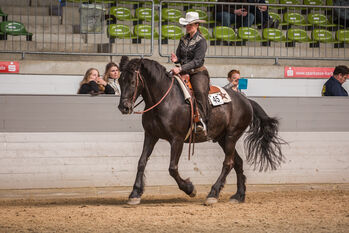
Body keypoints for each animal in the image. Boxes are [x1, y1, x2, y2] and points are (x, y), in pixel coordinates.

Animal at [118, 56, 284, 206]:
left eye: (132, 82)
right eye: (120, 81)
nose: (123, 107)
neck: (165, 99)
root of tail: (246, 100)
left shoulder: (177, 140)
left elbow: (172, 168)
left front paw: (190, 189)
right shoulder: (151, 135)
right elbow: (141, 162)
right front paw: (135, 194)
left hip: (231, 136)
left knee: (228, 163)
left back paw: (213, 194)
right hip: (222, 138)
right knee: (238, 162)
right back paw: (239, 195)